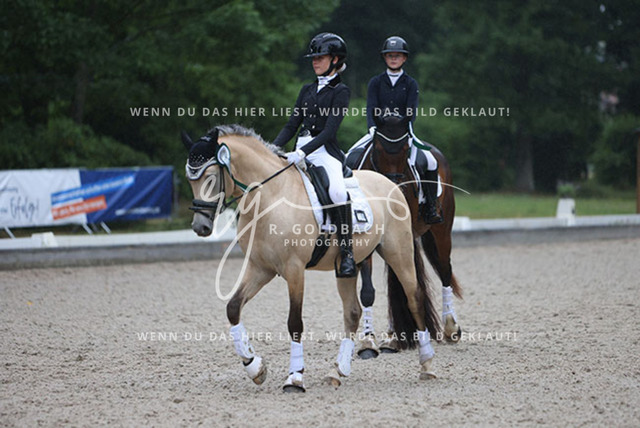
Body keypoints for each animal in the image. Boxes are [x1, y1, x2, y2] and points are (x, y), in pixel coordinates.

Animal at [181, 124, 441, 392]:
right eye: (191, 180)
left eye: (211, 177)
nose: (200, 227)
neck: (271, 198)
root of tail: (391, 184)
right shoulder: (260, 268)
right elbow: (233, 308)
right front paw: (255, 367)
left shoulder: (294, 270)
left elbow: (294, 323)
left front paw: (294, 378)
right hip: (347, 268)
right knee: (352, 312)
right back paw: (337, 371)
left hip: (398, 252)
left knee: (414, 298)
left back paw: (427, 365)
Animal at [347, 114, 463, 358]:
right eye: (378, 148)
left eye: (405, 149)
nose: (394, 188)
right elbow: (368, 291)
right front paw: (369, 342)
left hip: (441, 231)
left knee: (445, 270)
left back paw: (450, 328)